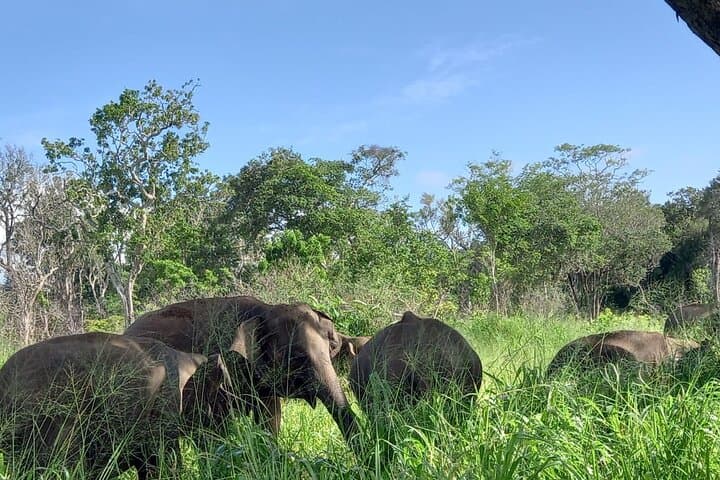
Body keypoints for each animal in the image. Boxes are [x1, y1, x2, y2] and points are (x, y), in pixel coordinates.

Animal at [124, 296, 359, 444]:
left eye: (331, 347)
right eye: (296, 357)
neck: (265, 309)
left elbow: (270, 417)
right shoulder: (220, 364)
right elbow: (216, 423)